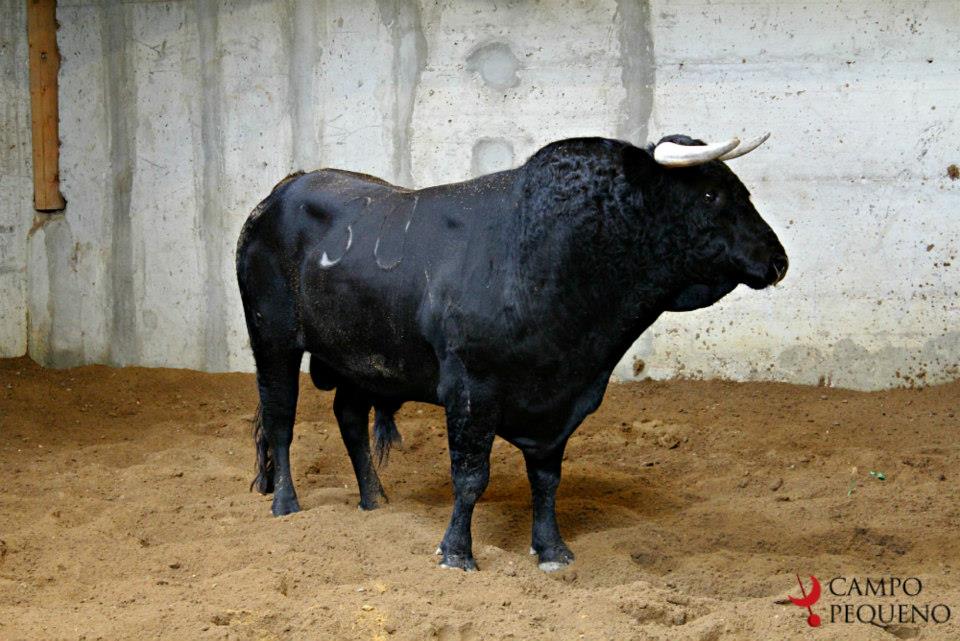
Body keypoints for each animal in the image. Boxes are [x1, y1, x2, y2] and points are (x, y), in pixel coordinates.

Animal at [235, 133, 787, 572]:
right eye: (712, 193)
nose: (777, 260)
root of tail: (281, 192)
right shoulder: (471, 390)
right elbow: (470, 477)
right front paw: (456, 553)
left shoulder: (558, 404)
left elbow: (546, 480)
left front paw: (552, 550)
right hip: (272, 341)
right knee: (281, 420)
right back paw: (286, 503)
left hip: (359, 359)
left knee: (349, 418)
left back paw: (375, 500)